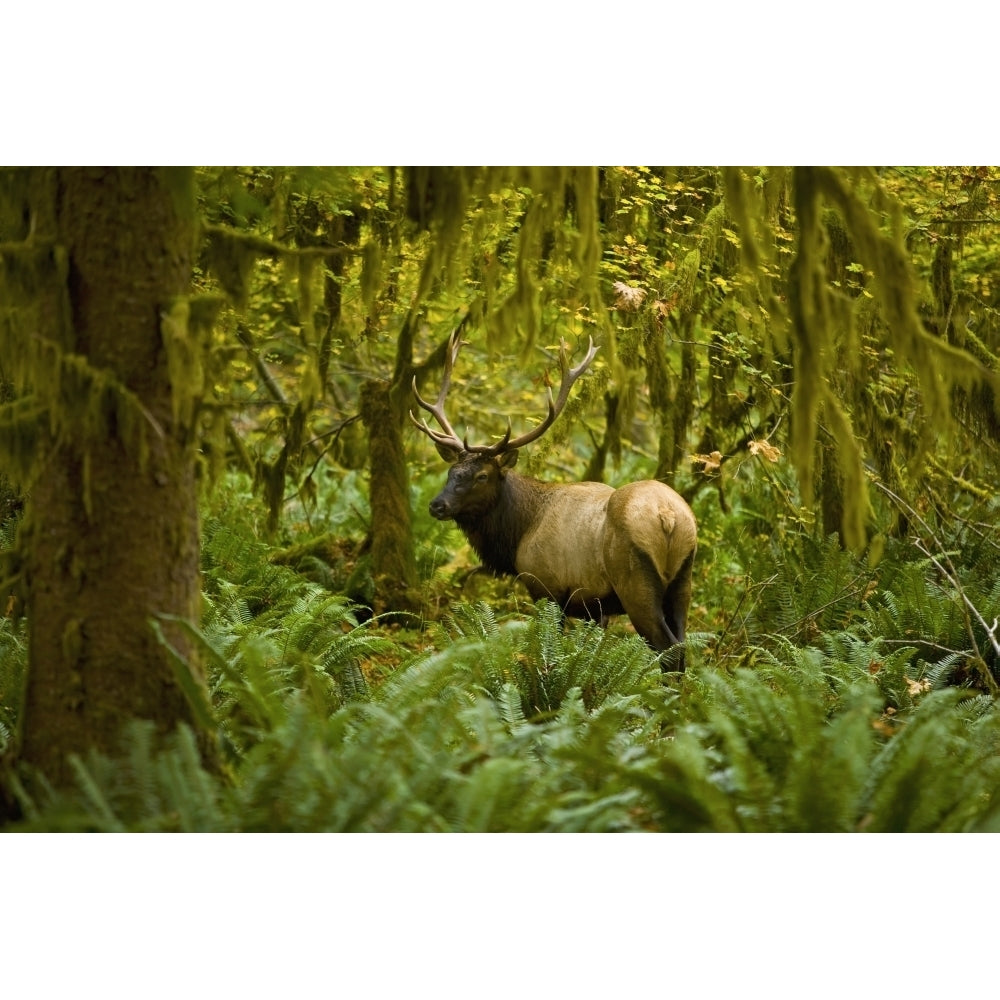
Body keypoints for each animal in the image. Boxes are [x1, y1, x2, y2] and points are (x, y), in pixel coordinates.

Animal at [410, 330, 700, 672]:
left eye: (482, 476)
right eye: (451, 471)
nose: (436, 505)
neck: (519, 534)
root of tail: (668, 517)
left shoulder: (546, 587)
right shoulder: (593, 607)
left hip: (636, 582)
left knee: (668, 650)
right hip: (683, 580)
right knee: (682, 647)